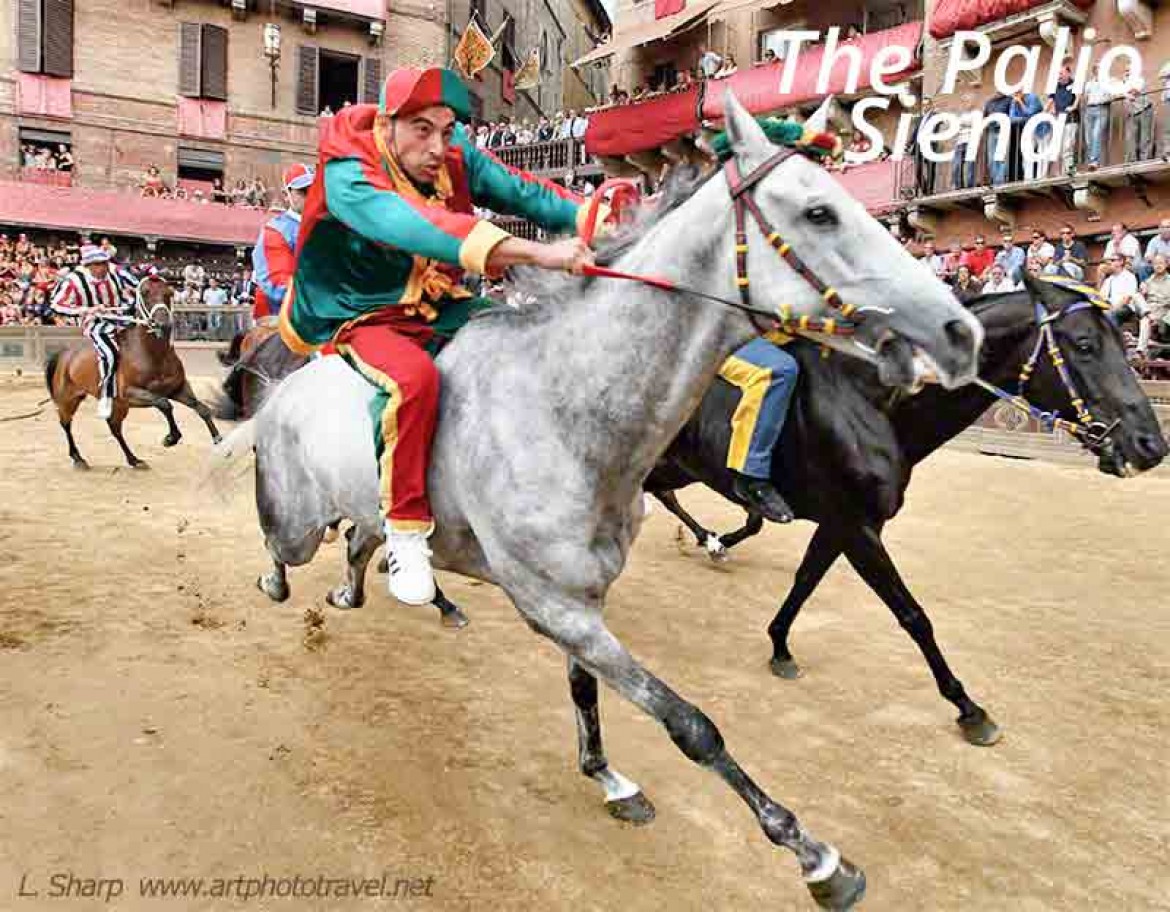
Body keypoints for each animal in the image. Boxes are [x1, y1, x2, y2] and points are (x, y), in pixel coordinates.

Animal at [42, 278, 221, 470]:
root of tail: (64, 354)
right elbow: (164, 404)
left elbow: (201, 408)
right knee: (66, 424)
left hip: (118, 406)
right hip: (68, 399)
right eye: (145, 293)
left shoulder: (177, 388)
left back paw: (134, 459)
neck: (153, 355)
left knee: (115, 428)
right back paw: (78, 458)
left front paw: (219, 440)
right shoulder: (131, 393)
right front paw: (171, 438)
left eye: (169, 293)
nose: (163, 324)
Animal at [212, 96, 987, 908]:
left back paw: (376, 582)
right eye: (820, 212)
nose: (960, 331)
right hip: (294, 521)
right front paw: (814, 854)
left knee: (363, 539)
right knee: (281, 545)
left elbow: (587, 691)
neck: (566, 406)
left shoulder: (584, 600)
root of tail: (287, 382)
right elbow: (690, 724)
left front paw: (607, 776)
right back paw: (290, 577)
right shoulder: (555, 605)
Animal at [645, 278, 1165, 749]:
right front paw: (969, 708)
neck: (872, 401)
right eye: (1085, 344)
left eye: (1122, 342)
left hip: (676, 467)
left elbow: (806, 580)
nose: (1151, 445)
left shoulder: (844, 523)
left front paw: (780, 644)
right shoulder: (858, 528)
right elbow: (913, 615)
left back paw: (707, 540)